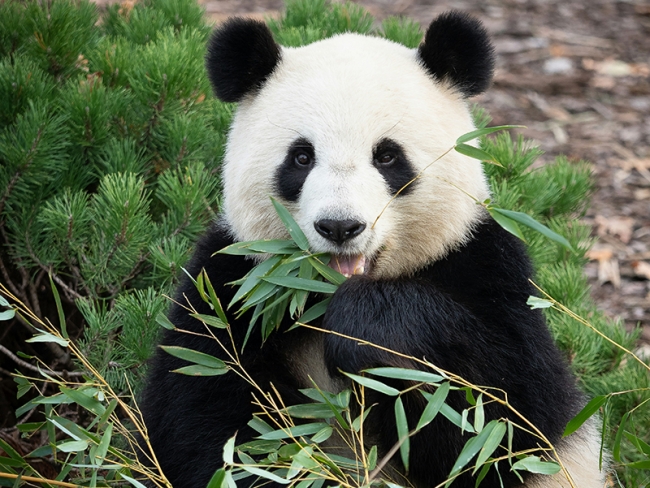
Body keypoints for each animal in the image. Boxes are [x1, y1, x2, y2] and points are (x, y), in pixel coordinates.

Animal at [140, 12, 606, 488]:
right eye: (301, 157)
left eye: (386, 156)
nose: (340, 226)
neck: (320, 297)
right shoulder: (231, 287)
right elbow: (203, 418)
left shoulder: (483, 263)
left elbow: (505, 418)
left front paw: (363, 326)